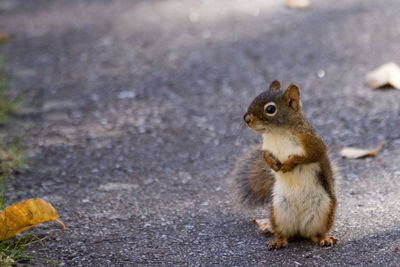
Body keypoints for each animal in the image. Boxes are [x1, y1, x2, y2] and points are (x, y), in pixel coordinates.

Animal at [231, 79, 338, 251]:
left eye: (270, 109)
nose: (246, 119)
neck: (277, 133)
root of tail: (300, 231)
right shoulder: (266, 147)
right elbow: (264, 156)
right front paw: (273, 164)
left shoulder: (312, 143)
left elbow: (307, 156)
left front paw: (288, 164)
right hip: (279, 213)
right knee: (284, 235)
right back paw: (278, 242)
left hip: (324, 212)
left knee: (316, 234)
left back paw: (324, 239)